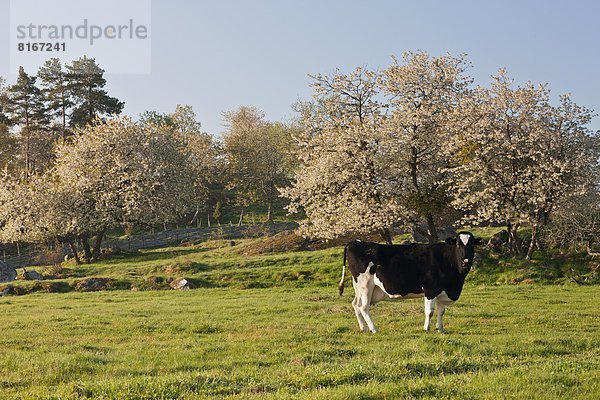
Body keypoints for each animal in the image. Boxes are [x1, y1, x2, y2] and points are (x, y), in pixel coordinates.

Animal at [338, 233, 482, 332]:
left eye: (472, 244)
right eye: (458, 244)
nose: (466, 261)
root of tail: (355, 242)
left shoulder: (442, 291)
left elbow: (441, 311)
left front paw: (440, 329)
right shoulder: (430, 289)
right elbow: (429, 311)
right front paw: (426, 328)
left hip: (359, 286)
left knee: (356, 304)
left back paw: (363, 328)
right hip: (365, 284)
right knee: (363, 307)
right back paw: (373, 329)